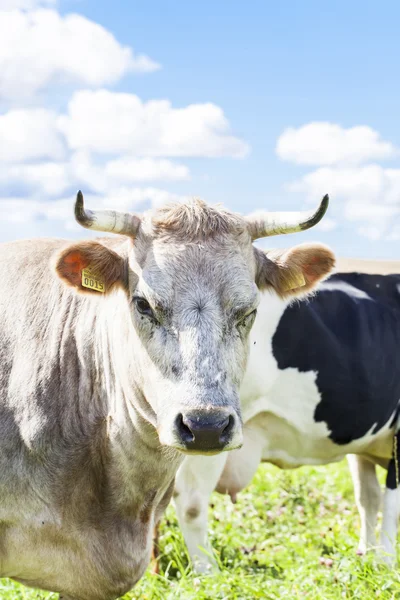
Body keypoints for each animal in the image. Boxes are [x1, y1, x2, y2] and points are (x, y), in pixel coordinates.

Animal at [174, 270, 400, 572]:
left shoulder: (365, 443)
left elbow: (368, 499)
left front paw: (367, 554)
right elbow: (391, 504)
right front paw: (386, 562)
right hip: (207, 429)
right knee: (192, 502)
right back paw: (208, 573)